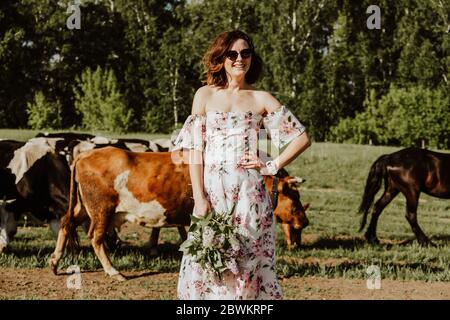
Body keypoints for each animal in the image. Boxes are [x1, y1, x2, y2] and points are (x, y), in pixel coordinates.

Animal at [49, 148, 310, 280]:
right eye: (295, 202)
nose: (305, 222)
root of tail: (85, 154)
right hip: (101, 208)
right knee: (95, 238)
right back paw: (113, 271)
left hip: (84, 208)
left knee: (66, 222)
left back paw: (55, 260)